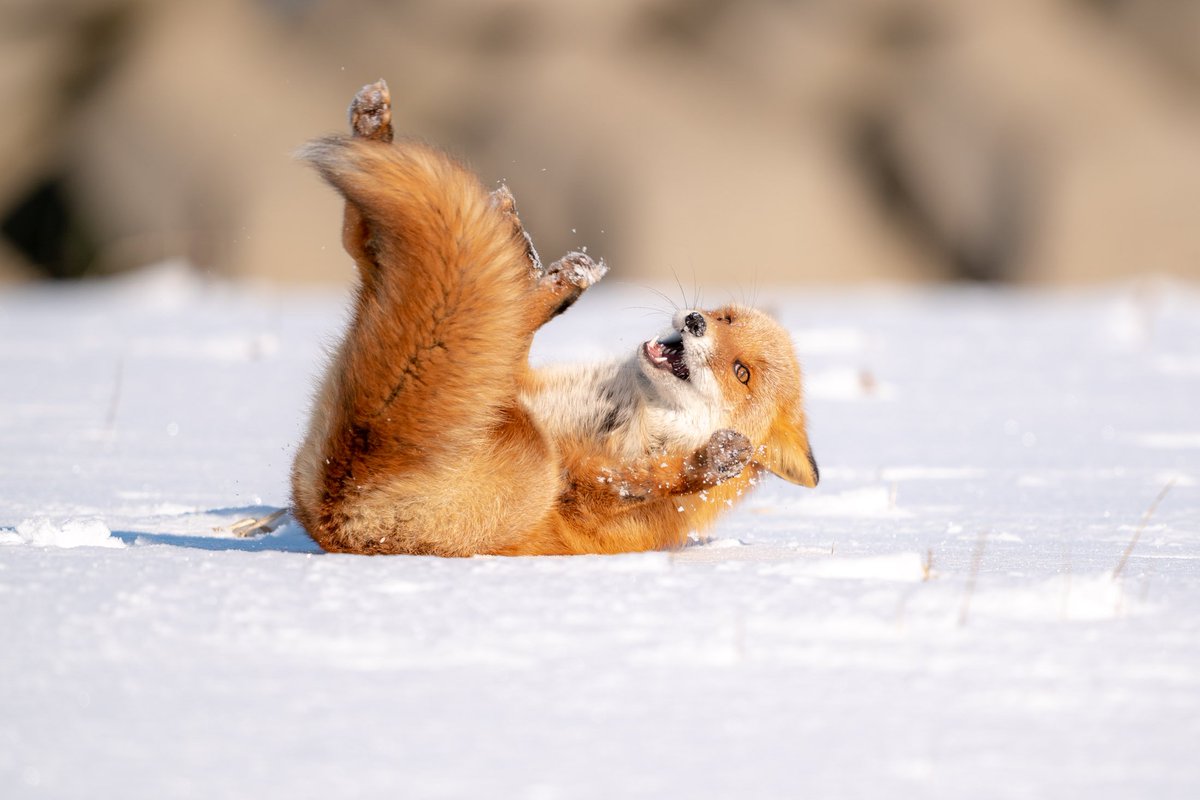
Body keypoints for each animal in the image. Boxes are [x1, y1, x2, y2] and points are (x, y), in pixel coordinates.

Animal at [289, 81, 816, 556]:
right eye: (726, 318)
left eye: (742, 373)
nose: (694, 322)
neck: (630, 412)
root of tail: (340, 504)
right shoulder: (528, 386)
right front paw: (551, 278)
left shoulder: (586, 495)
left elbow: (640, 481)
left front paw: (711, 462)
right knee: (374, 254)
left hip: (528, 459)